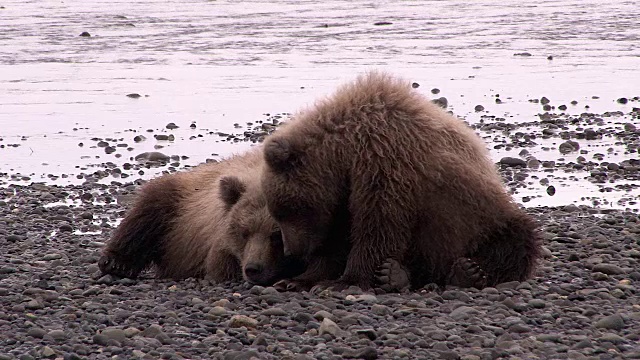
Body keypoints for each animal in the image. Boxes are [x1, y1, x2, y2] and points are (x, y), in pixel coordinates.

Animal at [99, 148, 304, 286]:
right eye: (244, 232)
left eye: (277, 235)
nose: (253, 268)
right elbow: (221, 265)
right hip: (182, 204)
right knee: (147, 213)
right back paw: (116, 263)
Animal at [262, 71, 544, 292]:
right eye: (278, 212)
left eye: (287, 210)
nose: (291, 252)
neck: (345, 154)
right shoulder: (345, 192)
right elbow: (338, 236)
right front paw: (298, 279)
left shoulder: (387, 162)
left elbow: (380, 225)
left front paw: (343, 281)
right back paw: (397, 275)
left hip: (482, 218)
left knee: (517, 240)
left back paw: (468, 272)